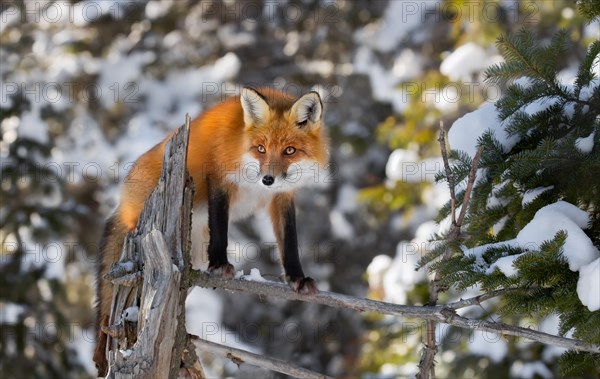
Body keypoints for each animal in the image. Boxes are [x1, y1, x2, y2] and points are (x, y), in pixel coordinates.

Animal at [94, 87, 330, 376]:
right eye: (261, 148)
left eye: (290, 150)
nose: (268, 179)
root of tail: (123, 200)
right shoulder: (219, 177)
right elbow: (220, 228)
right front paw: (220, 265)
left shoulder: (282, 197)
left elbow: (289, 242)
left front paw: (298, 278)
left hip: (191, 258)